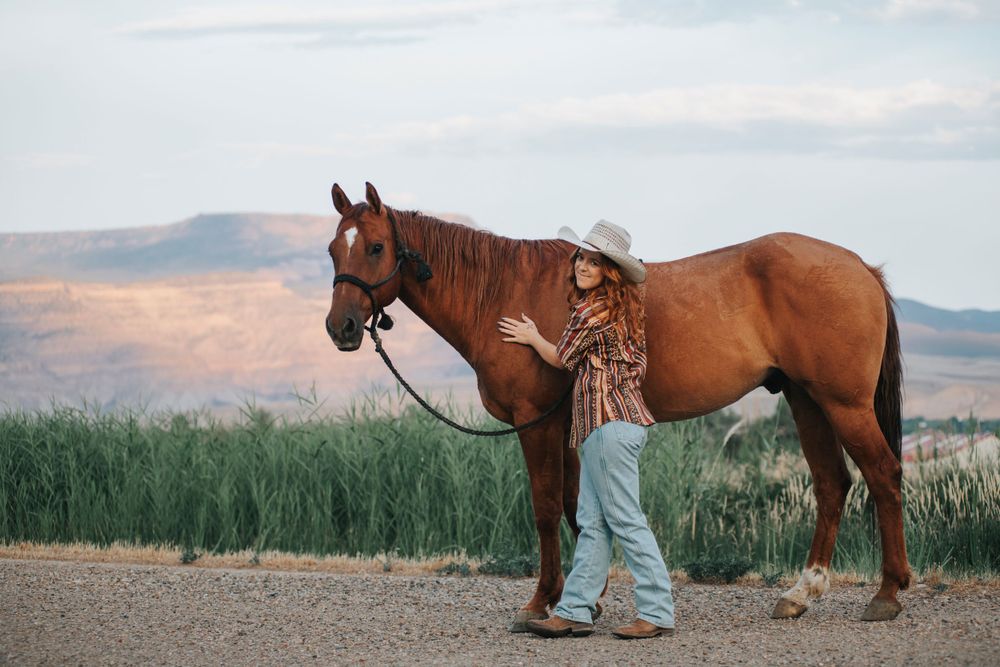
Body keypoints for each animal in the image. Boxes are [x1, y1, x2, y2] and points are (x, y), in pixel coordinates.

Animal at [325, 182, 910, 629]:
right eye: (334, 250)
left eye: (375, 247)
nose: (342, 328)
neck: (503, 290)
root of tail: (861, 267)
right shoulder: (565, 423)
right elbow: (572, 504)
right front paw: (591, 595)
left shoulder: (535, 423)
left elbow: (544, 508)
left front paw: (541, 602)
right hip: (806, 400)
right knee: (832, 483)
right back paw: (801, 593)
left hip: (844, 404)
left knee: (883, 475)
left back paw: (886, 594)